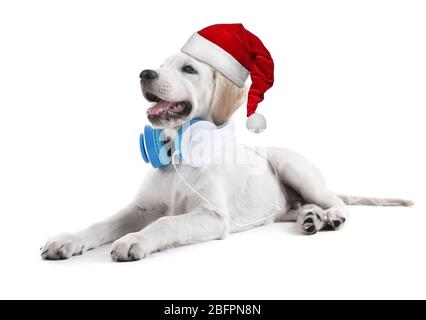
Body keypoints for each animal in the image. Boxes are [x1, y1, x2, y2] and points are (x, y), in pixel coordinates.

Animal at [40, 52, 412, 262]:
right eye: (159, 67)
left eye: (189, 69)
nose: (145, 73)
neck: (179, 155)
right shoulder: (140, 208)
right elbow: (102, 223)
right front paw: (69, 239)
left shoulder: (212, 215)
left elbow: (166, 222)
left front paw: (134, 240)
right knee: (301, 208)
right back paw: (310, 217)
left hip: (292, 167)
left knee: (336, 201)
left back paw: (329, 217)